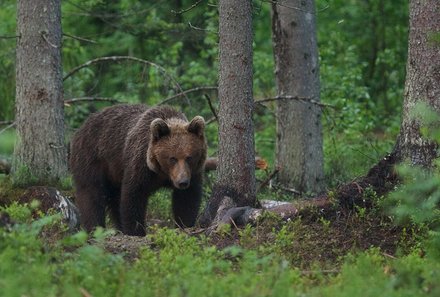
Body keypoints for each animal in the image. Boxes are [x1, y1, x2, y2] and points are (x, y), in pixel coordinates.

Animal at [69, 104, 207, 236]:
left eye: (189, 157)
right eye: (172, 158)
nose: (182, 182)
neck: (162, 172)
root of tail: (81, 128)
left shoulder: (193, 172)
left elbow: (187, 199)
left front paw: (185, 224)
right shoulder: (140, 164)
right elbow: (134, 195)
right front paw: (136, 231)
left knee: (115, 198)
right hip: (92, 158)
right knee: (91, 193)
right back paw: (94, 227)